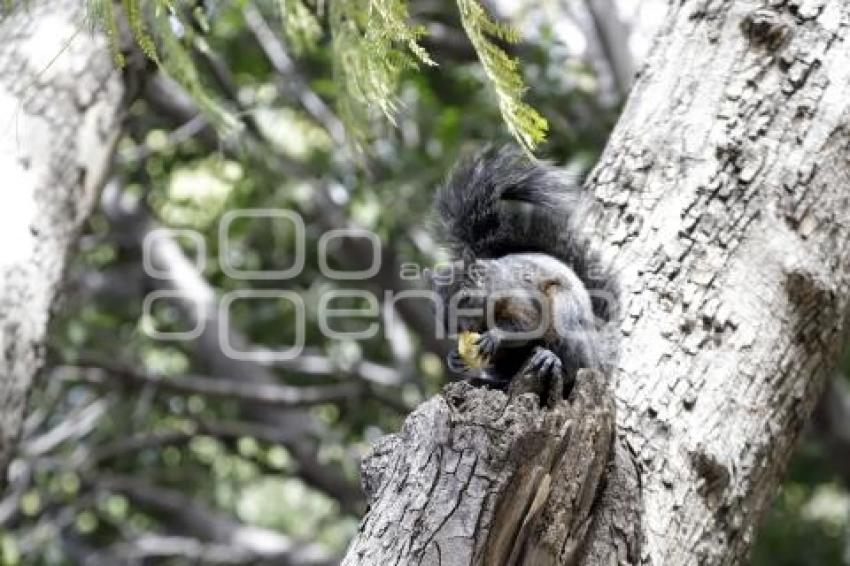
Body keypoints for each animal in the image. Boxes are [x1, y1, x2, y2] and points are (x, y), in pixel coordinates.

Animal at [430, 146, 616, 394]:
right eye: (436, 309)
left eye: (466, 299)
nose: (457, 328)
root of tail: (599, 360)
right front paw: (454, 358)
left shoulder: (518, 295)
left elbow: (529, 323)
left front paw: (495, 336)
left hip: (566, 313)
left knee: (574, 364)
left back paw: (551, 359)